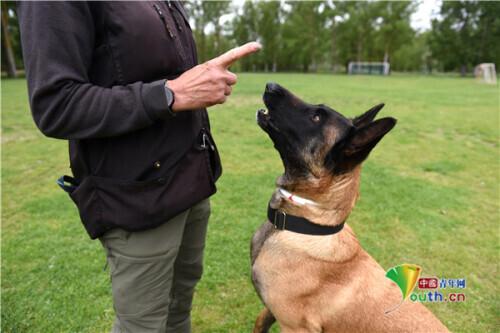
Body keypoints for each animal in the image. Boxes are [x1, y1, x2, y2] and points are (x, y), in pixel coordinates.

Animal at [250, 81, 450, 330]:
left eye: (316, 117)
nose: (271, 85)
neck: (307, 223)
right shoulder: (272, 310)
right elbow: (260, 321)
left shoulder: (295, 326)